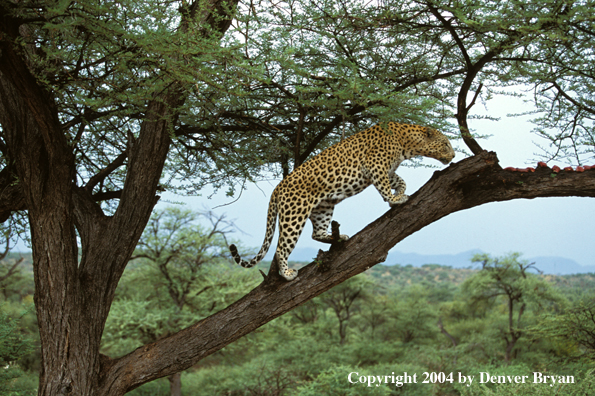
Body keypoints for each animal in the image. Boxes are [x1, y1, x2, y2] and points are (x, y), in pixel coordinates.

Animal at [229, 122, 456, 280]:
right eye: (446, 144)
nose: (454, 155)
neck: (406, 142)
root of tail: (277, 188)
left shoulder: (384, 169)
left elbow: (399, 179)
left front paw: (399, 191)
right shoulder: (375, 165)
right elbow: (384, 186)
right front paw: (395, 199)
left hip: (323, 208)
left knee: (316, 233)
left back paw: (338, 238)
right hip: (294, 214)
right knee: (281, 248)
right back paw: (286, 274)